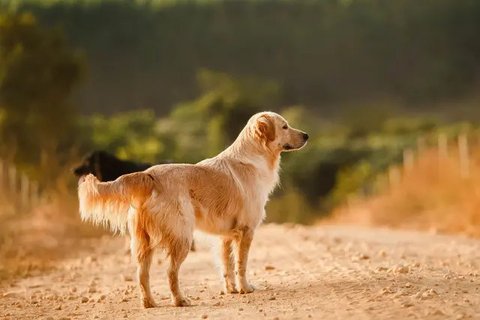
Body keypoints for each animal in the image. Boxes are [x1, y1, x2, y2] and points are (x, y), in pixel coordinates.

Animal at [77, 112, 306, 308]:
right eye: (284, 126)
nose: (307, 135)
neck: (254, 156)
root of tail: (149, 175)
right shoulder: (246, 230)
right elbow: (241, 264)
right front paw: (245, 288)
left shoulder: (226, 236)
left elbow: (227, 265)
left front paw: (230, 289)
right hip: (182, 237)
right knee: (171, 272)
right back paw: (180, 300)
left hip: (143, 242)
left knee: (142, 274)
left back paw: (149, 303)